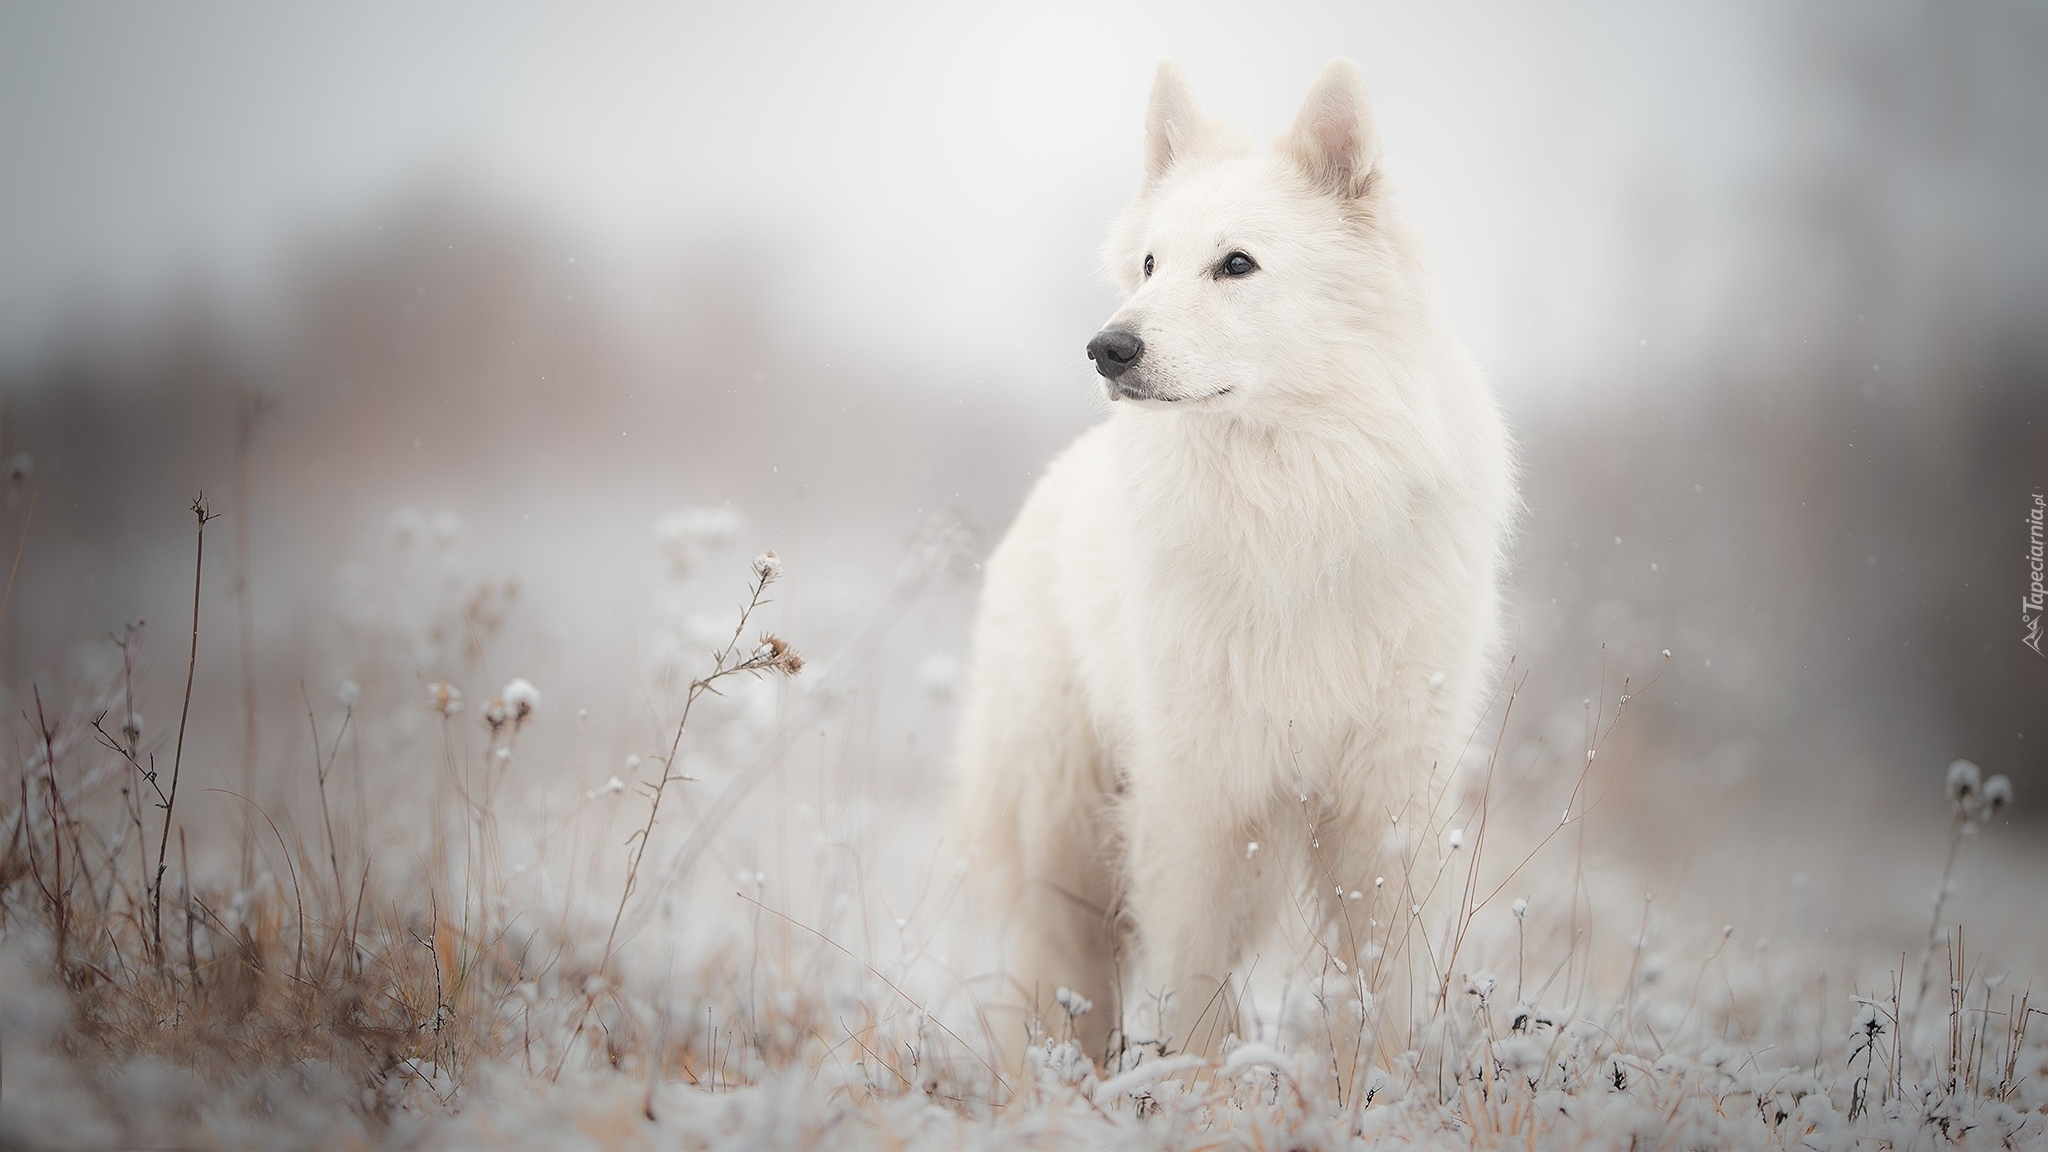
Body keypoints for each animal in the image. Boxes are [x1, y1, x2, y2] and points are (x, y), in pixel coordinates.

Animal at [950, 58, 1515, 1065]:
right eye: (1149, 264)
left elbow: (1385, 990)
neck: (1292, 503)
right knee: (1065, 975)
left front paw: (1379, 1084)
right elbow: (1194, 991)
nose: (1106, 347)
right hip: (1068, 833)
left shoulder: (1381, 804)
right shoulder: (1197, 800)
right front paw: (1197, 1088)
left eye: (1237, 264)